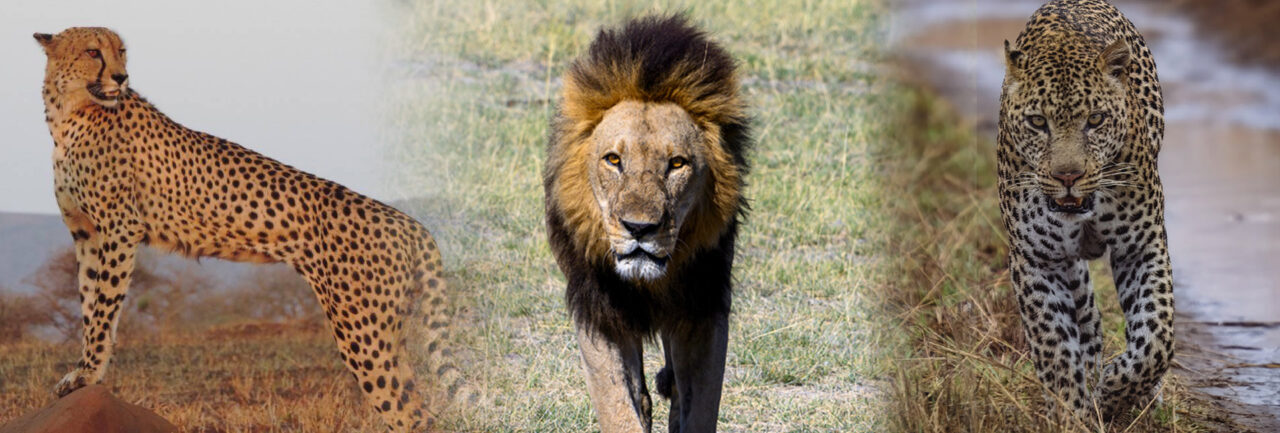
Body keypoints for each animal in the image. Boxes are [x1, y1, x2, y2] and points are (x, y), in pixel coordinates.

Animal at [34, 27, 463, 432]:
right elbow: (90, 303)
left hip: (364, 332)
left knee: (410, 413)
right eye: (93, 51)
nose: (121, 77)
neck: (69, 112)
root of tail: (410, 222)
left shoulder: (120, 228)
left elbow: (103, 307)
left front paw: (86, 373)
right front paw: (86, 373)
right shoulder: (87, 234)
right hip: (390, 332)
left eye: (121, 51)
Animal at [542, 15, 751, 433]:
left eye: (677, 163)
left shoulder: (704, 306)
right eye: (613, 160)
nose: (639, 229)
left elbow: (699, 407)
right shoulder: (599, 310)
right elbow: (619, 407)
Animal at [997, 0, 1173, 422]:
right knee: (1086, 317)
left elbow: (1156, 339)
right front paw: (1072, 415)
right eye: (1037, 122)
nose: (1068, 176)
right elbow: (1056, 351)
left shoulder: (1141, 247)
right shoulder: (1036, 261)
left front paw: (1112, 391)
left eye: (1095, 120)